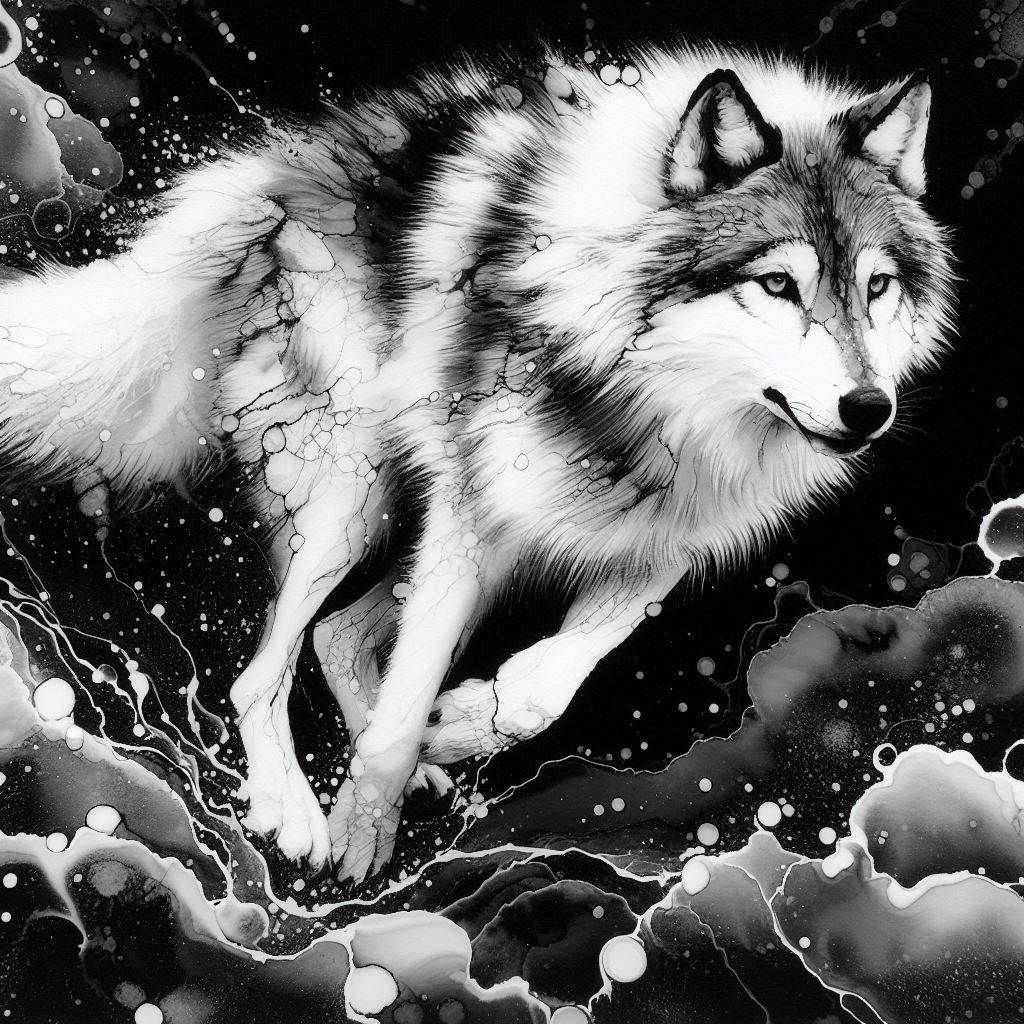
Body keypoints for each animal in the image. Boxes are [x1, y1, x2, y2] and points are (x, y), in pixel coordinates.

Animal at [0, 44, 953, 882]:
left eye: (875, 287)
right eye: (778, 285)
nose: (869, 409)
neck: (651, 409)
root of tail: (282, 168)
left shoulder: (657, 547)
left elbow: (545, 689)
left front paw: (453, 728)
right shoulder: (473, 518)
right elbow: (403, 707)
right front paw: (364, 830)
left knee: (339, 637)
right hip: (354, 503)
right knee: (261, 671)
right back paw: (294, 808)